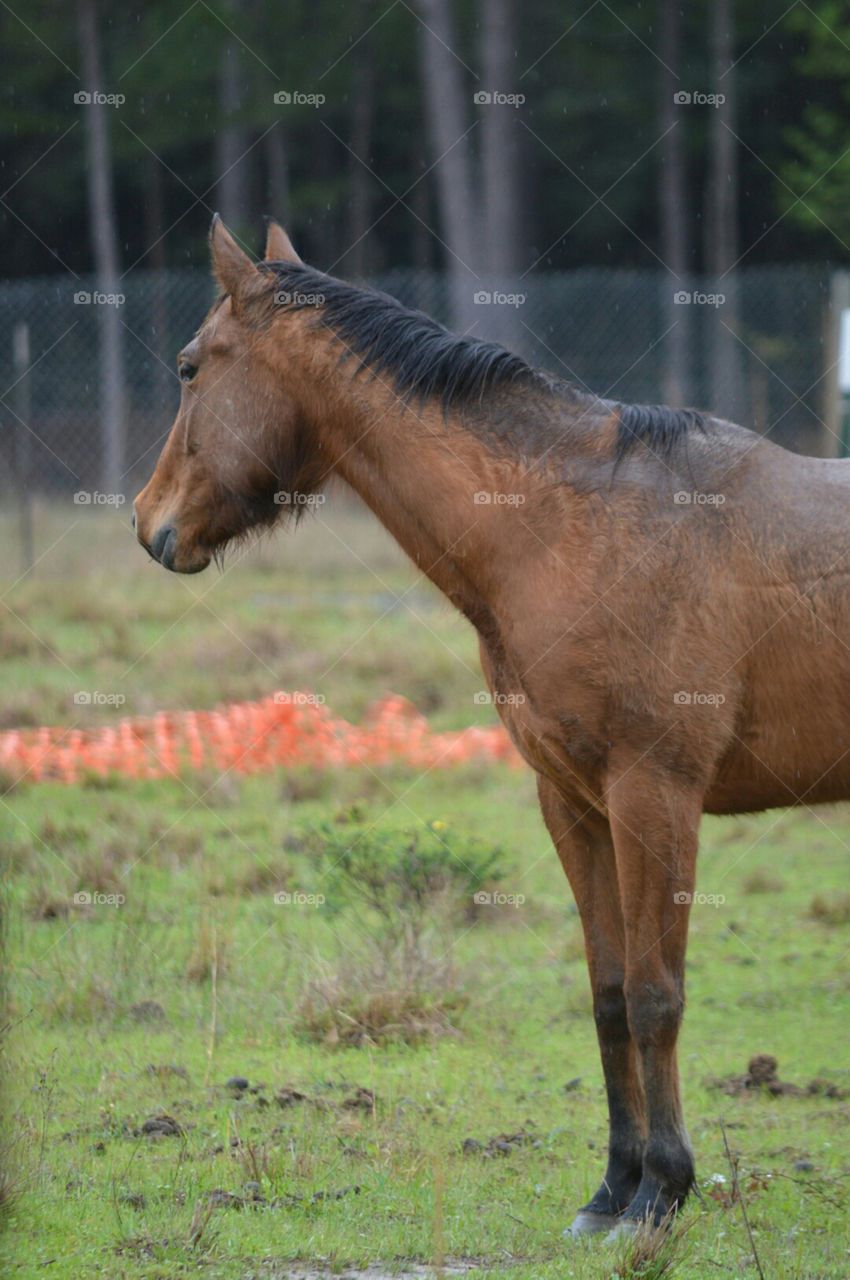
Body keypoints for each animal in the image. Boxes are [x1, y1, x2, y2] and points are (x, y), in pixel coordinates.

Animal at [134, 215, 850, 1238]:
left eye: (192, 365)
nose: (148, 524)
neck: (564, 526)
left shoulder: (656, 796)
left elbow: (656, 996)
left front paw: (662, 1193)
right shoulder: (576, 803)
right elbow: (608, 994)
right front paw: (613, 1190)